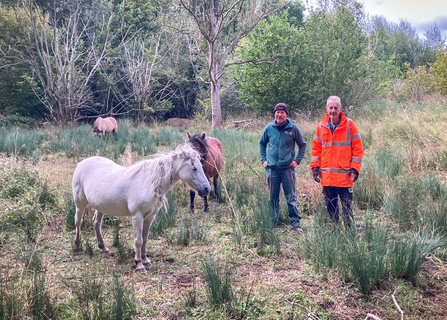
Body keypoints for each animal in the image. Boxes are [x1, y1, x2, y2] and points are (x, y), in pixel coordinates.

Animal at [72, 144, 212, 272]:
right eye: (194, 168)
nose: (207, 189)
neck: (149, 183)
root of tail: (81, 163)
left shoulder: (150, 217)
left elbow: (145, 239)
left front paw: (146, 260)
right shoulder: (137, 216)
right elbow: (138, 240)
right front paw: (139, 264)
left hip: (100, 206)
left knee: (96, 222)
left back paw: (103, 247)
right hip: (80, 203)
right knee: (78, 221)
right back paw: (77, 246)